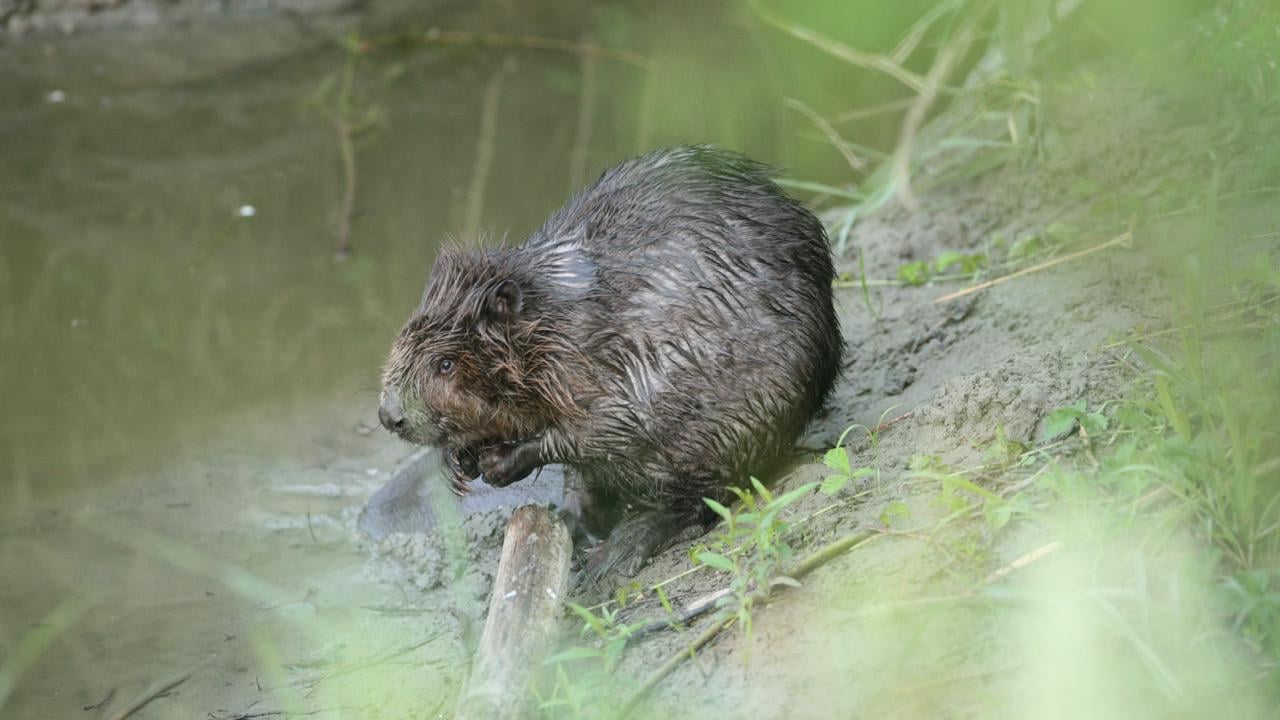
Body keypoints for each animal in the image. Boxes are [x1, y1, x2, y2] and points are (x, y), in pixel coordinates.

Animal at [373, 146, 844, 584]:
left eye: (445, 364)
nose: (389, 416)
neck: (555, 321)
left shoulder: (614, 360)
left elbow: (605, 428)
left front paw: (501, 462)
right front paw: (460, 460)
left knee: (703, 496)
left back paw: (617, 549)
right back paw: (572, 518)